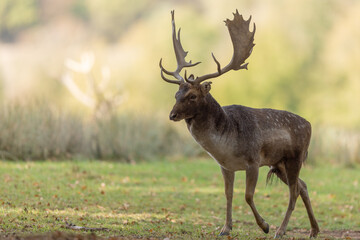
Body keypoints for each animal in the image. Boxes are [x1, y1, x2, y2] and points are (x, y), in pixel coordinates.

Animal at [159, 9, 320, 238]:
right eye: (176, 94)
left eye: (192, 96)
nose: (172, 115)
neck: (226, 144)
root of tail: (309, 125)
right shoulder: (226, 166)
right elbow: (228, 195)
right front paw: (225, 228)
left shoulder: (253, 161)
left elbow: (248, 196)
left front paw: (264, 226)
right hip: (278, 163)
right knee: (303, 186)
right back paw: (314, 230)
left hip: (295, 157)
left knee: (294, 192)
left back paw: (280, 230)